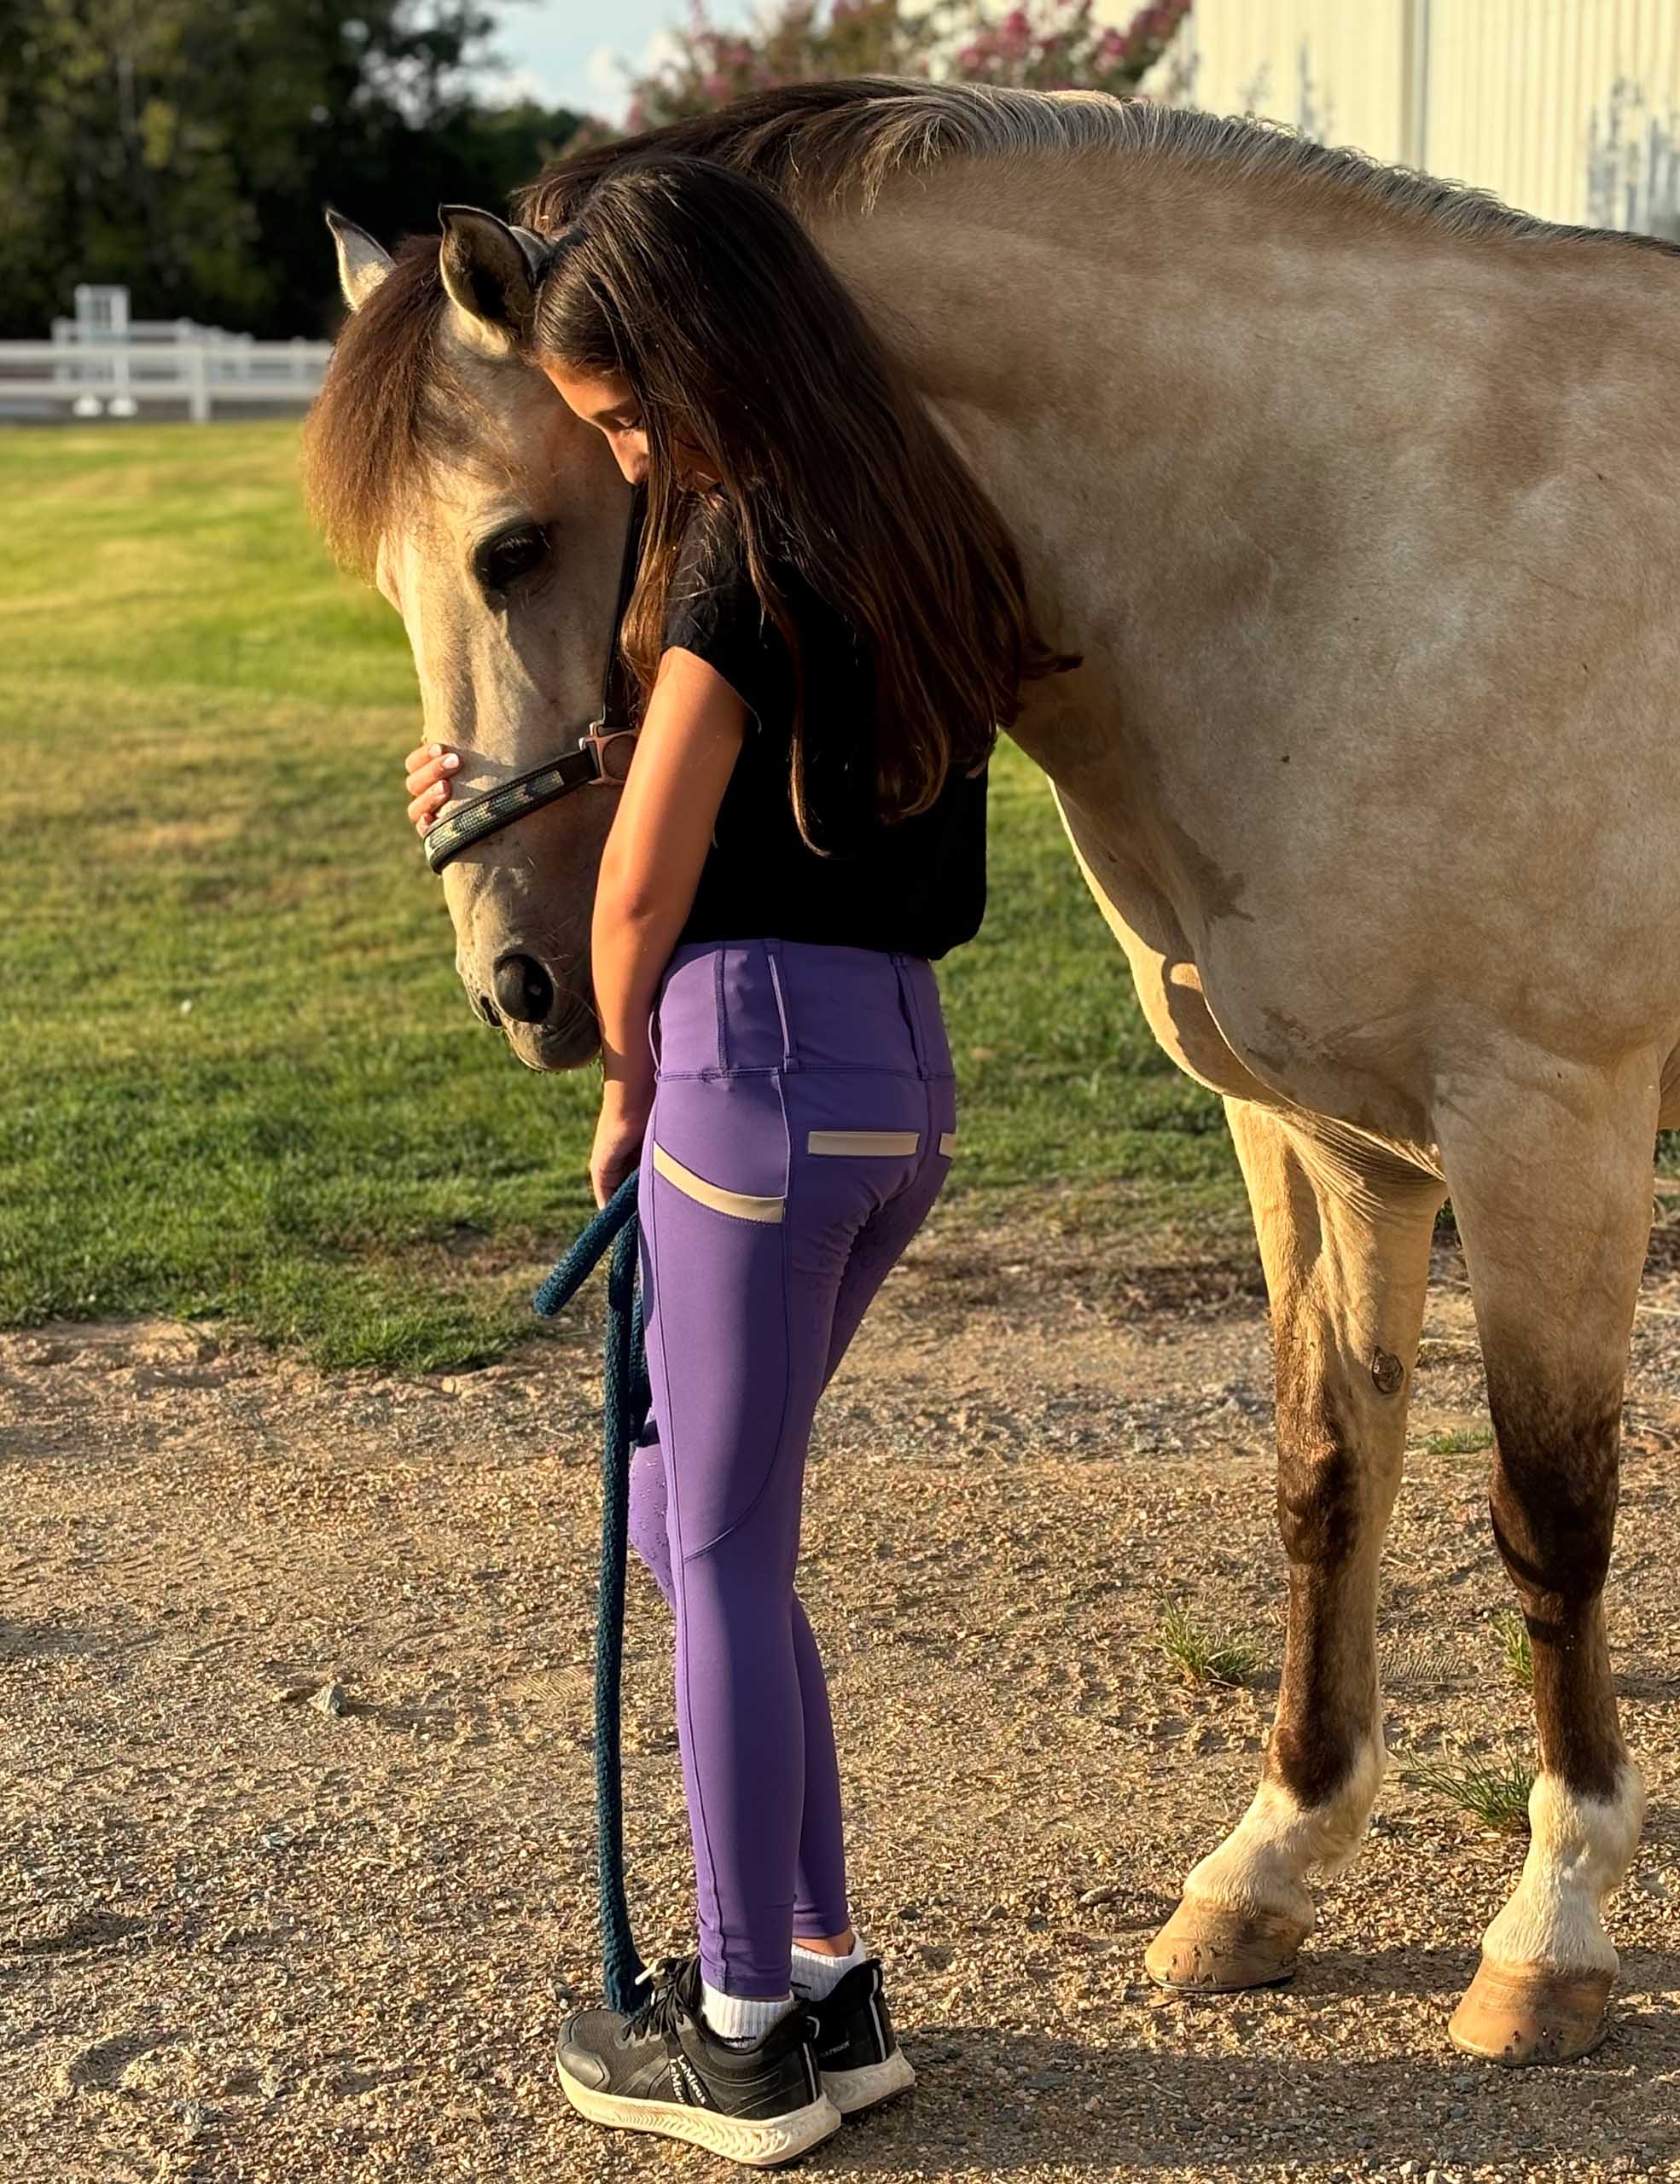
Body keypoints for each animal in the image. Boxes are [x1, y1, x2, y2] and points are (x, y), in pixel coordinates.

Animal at [294, 80, 1677, 2061]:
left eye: (514, 546)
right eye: (388, 576)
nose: (520, 982)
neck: (1359, 549)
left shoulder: (1542, 1125)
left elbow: (1547, 1517)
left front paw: (1553, 1921)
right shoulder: (1321, 1137)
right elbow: (1326, 1476)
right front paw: (1270, 1861)